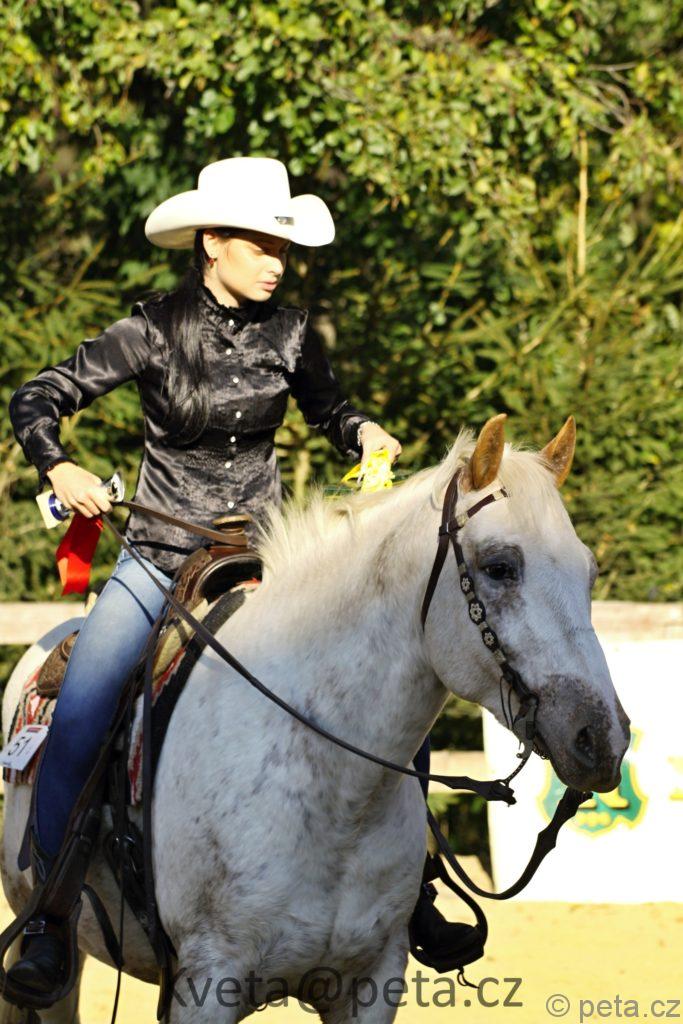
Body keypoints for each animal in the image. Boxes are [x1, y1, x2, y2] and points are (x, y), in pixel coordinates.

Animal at [0, 415, 631, 1023]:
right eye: (500, 566)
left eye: (589, 572)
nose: (602, 739)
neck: (338, 799)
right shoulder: (206, 983)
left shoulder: (372, 984)